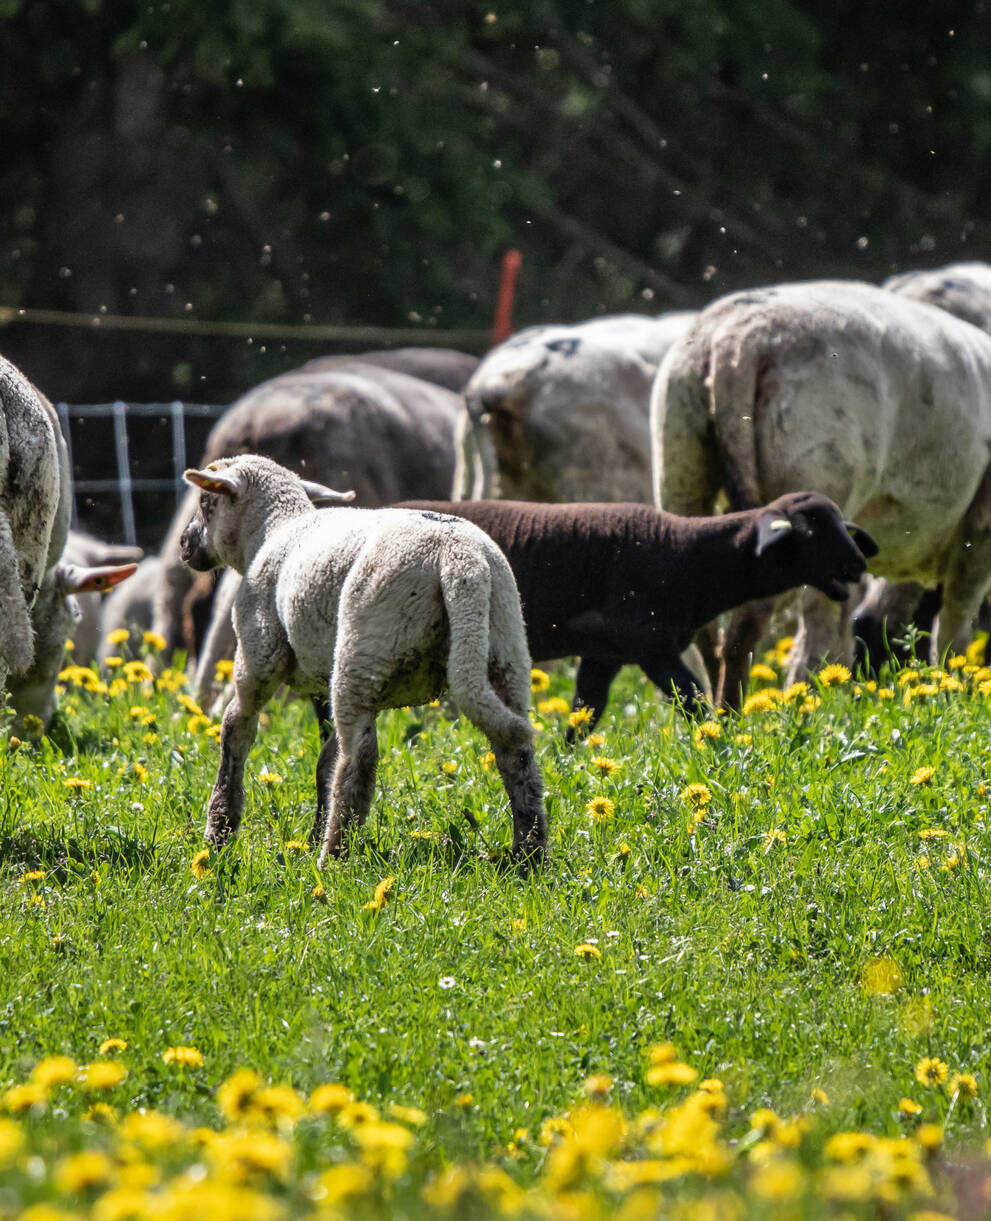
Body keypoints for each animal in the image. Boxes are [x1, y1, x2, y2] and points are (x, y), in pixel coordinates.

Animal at [179, 456, 549, 869]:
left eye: (206, 503)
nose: (184, 544)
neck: (273, 530)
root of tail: (459, 558)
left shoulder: (257, 653)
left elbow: (235, 730)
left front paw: (219, 830)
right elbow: (324, 759)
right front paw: (307, 833)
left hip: (362, 649)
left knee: (359, 757)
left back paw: (334, 856)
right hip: (504, 644)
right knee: (516, 751)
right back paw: (529, 855)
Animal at [649, 279, 991, 703]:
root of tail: (734, 344)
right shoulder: (980, 529)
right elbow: (954, 623)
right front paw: (957, 689)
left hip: (680, 465)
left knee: (709, 622)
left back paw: (714, 709)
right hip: (818, 476)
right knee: (798, 623)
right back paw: (783, 702)